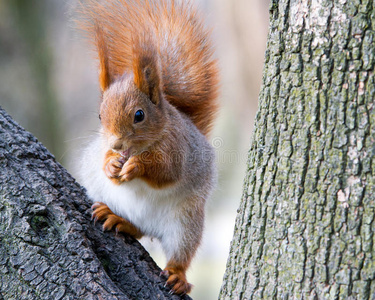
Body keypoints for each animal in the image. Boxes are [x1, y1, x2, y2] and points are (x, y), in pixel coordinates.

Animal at [78, 0, 220, 296]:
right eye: (100, 116)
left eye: (139, 115)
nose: (116, 144)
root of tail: (150, 225)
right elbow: (106, 161)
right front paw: (111, 164)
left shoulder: (179, 148)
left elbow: (166, 172)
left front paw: (137, 166)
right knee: (137, 230)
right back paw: (118, 219)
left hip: (184, 222)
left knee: (180, 253)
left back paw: (177, 276)